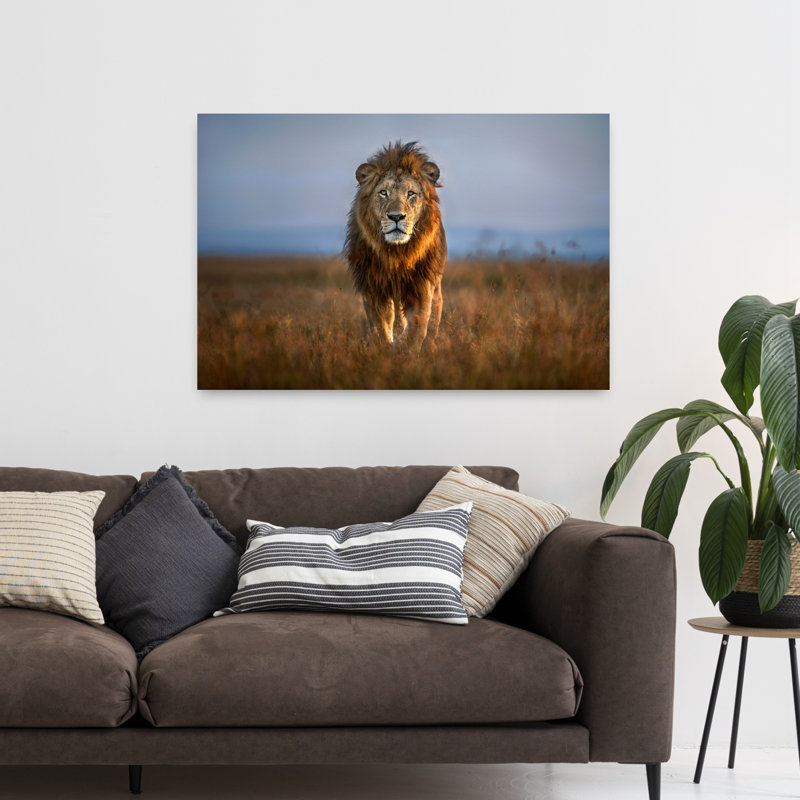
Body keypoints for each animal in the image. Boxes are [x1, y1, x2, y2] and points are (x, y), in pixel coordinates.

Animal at [344, 141, 447, 349]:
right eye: (383, 193)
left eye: (411, 193)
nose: (397, 217)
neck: (397, 253)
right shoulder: (373, 286)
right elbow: (380, 326)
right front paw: (385, 347)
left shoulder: (422, 285)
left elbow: (418, 325)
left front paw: (403, 348)